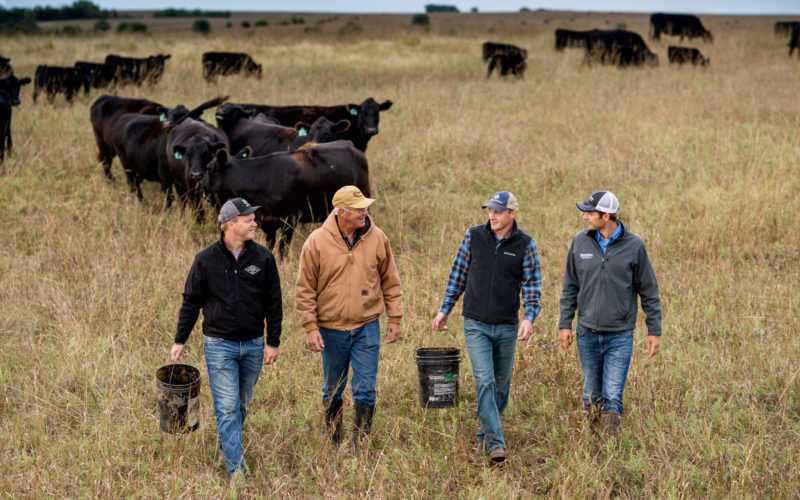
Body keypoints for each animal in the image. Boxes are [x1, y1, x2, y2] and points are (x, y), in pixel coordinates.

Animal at [198, 141, 370, 256]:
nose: (199, 184)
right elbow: (271, 246)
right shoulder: (268, 222)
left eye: (209, 168)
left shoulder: (290, 218)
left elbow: (283, 250)